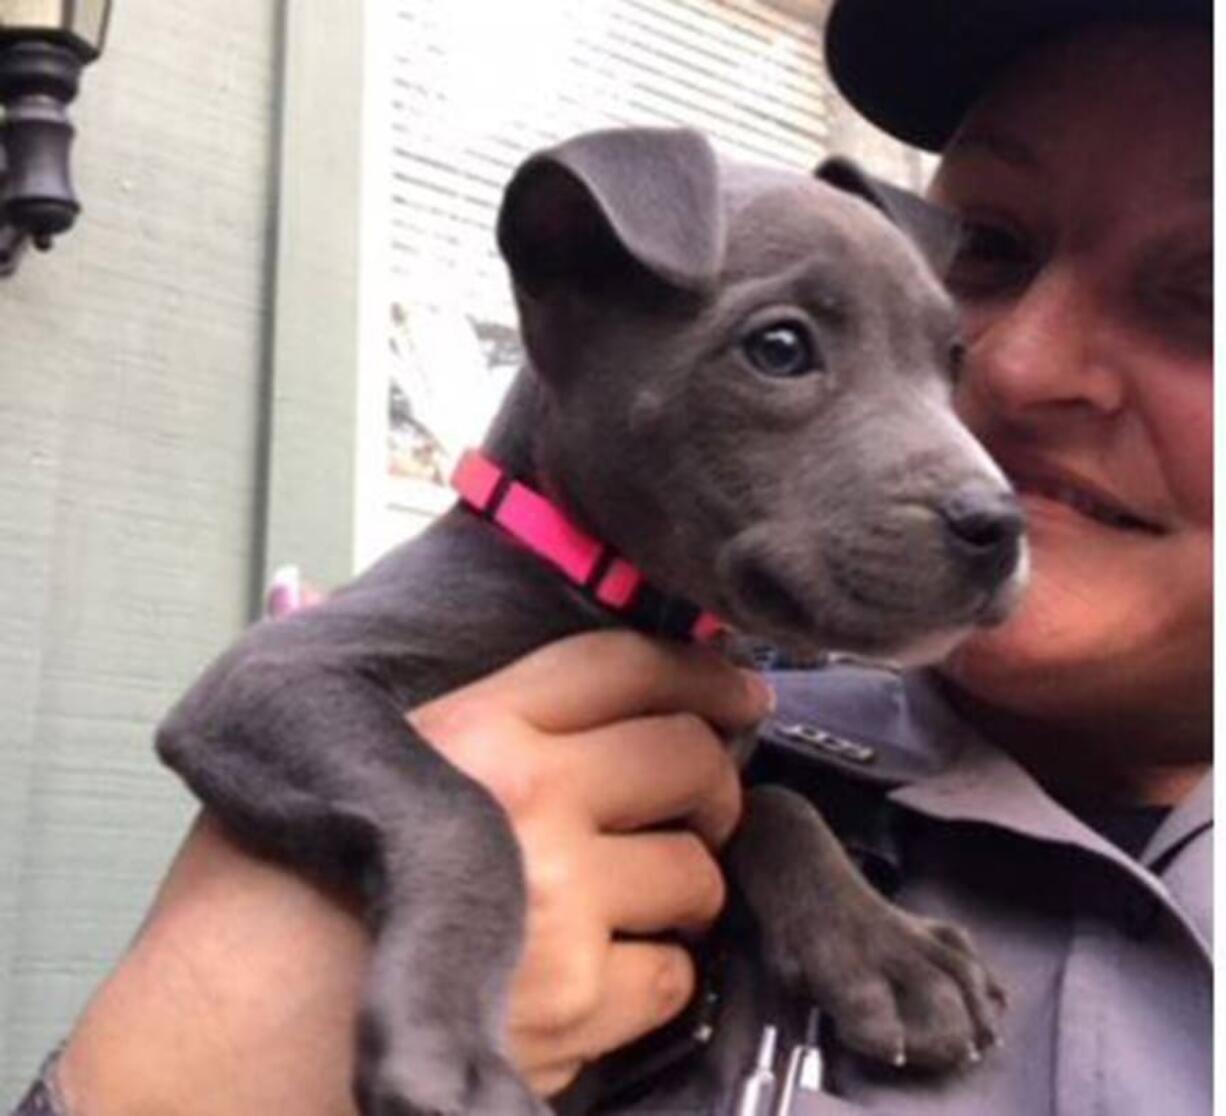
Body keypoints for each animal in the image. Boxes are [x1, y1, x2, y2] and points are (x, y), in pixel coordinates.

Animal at [160, 126, 1024, 1113]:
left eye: (952, 360)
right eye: (778, 348)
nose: (1001, 525)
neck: (621, 597)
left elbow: (774, 801)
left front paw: (892, 950)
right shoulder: (270, 675)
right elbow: (461, 806)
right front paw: (448, 1046)